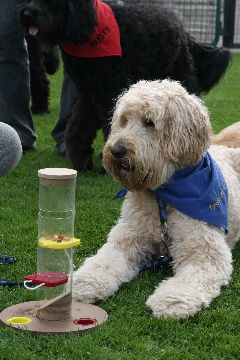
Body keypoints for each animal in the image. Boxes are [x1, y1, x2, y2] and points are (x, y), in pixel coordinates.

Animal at [18, 0, 231, 172]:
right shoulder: (89, 93)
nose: (27, 14)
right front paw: (81, 160)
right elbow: (79, 124)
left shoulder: (108, 91)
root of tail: (180, 25)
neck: (89, 29)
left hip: (178, 75)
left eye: (52, 1)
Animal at [72, 79, 240, 318]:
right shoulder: (127, 239)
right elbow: (103, 261)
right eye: (124, 120)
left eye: (149, 122)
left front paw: (173, 300)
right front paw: (85, 282)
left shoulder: (203, 252)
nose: (116, 150)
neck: (162, 196)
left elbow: (190, 280)